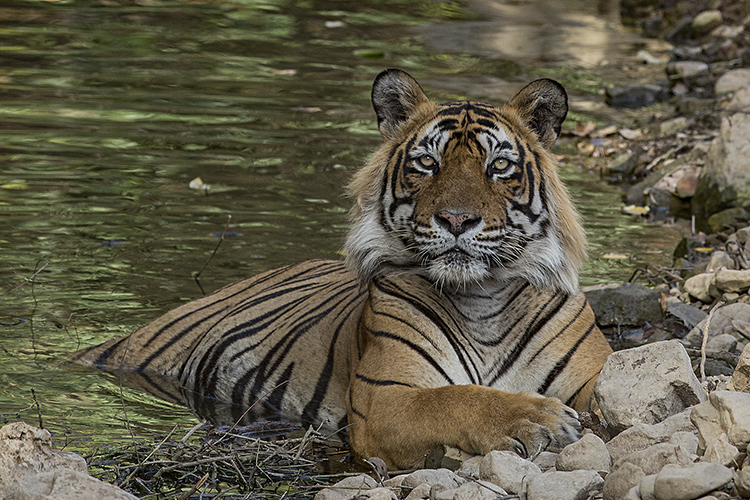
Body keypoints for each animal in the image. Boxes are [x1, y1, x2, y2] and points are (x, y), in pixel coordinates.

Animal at [75, 68, 616, 470]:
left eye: (499, 166)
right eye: (427, 163)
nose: (457, 219)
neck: (483, 296)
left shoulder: (594, 374)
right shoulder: (385, 399)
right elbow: (461, 399)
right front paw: (540, 419)